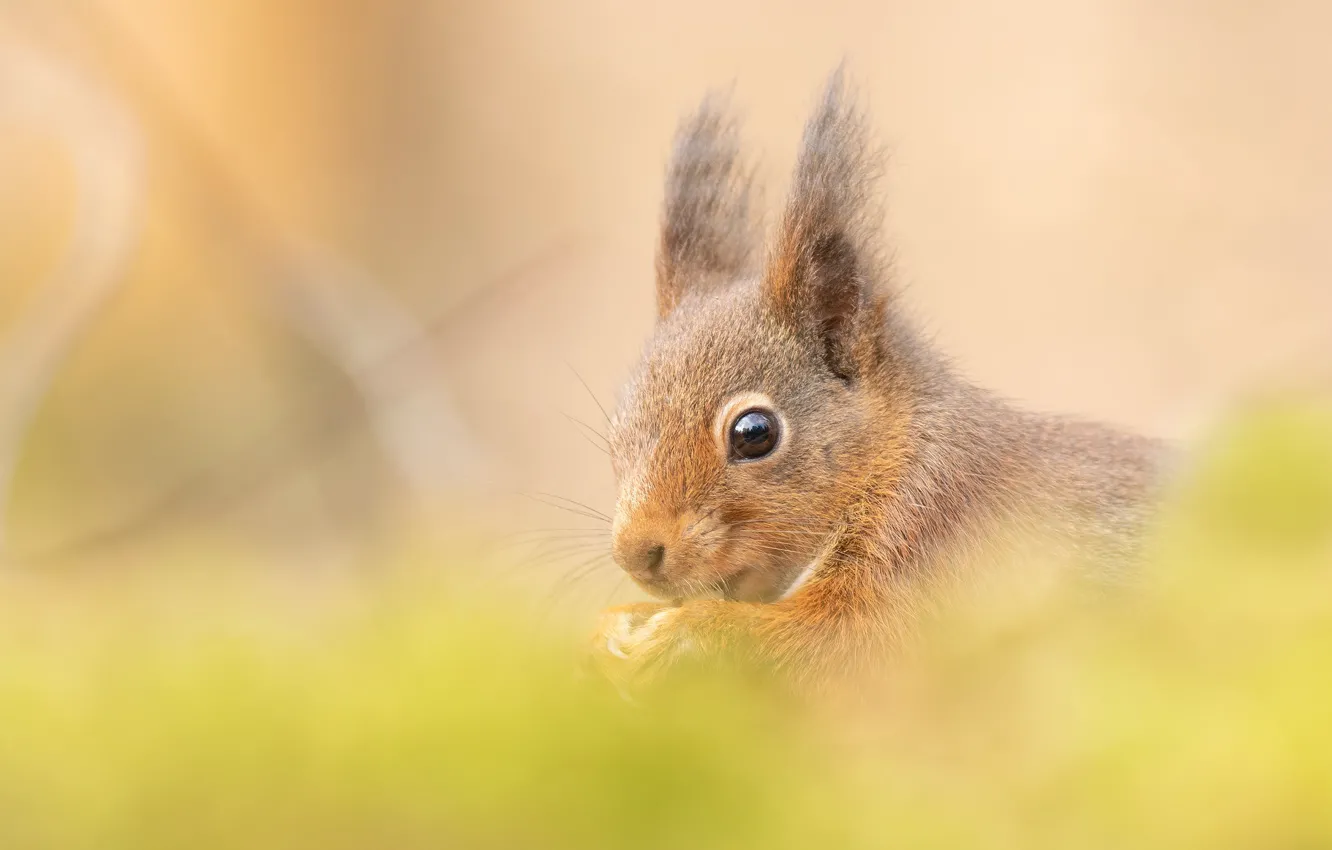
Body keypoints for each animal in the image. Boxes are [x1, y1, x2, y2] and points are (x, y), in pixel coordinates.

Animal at [590, 69, 1166, 694]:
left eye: (754, 433)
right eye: (616, 432)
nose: (636, 554)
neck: (891, 456)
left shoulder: (931, 534)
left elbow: (836, 644)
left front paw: (683, 630)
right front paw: (612, 626)